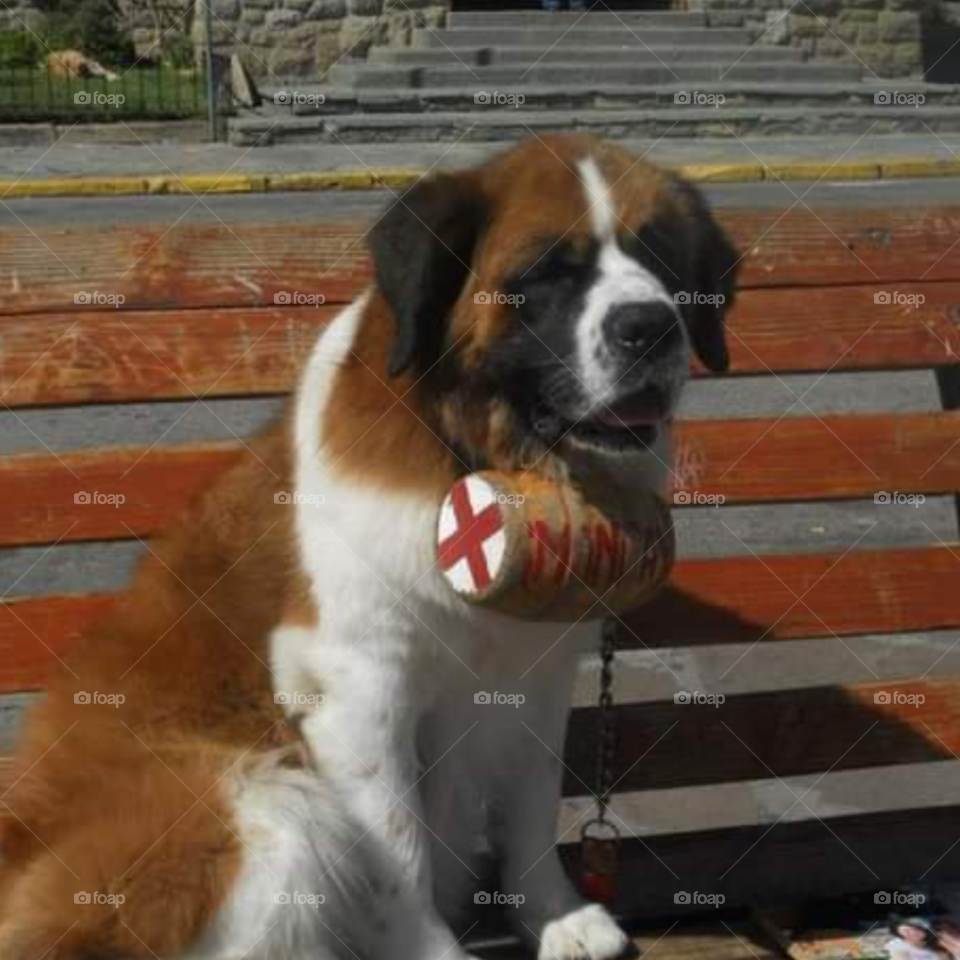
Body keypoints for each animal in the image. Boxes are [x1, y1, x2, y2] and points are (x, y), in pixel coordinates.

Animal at [0, 135, 736, 960]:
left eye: (664, 261)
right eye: (550, 273)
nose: (651, 325)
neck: (475, 455)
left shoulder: (540, 674)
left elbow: (531, 802)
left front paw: (554, 914)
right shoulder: (358, 690)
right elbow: (399, 855)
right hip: (263, 808)